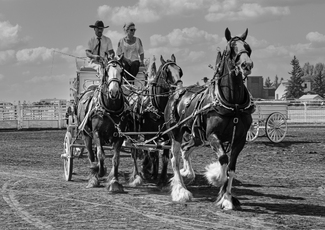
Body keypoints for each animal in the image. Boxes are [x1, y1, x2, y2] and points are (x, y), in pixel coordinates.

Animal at [77, 56, 130, 192]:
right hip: (86, 135)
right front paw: (99, 172)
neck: (110, 109)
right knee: (91, 155)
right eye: (106, 72)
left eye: (122, 72)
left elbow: (115, 159)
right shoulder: (96, 133)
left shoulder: (120, 135)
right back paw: (93, 176)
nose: (113, 92)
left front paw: (114, 181)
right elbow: (100, 155)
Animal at [126, 54, 182, 187]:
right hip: (134, 132)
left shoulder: (167, 134)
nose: (179, 89)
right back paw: (137, 174)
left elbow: (164, 156)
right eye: (167, 72)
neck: (157, 106)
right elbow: (150, 152)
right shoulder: (148, 133)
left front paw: (161, 177)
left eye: (180, 71)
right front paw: (148, 171)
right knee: (134, 150)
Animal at [165, 27, 253, 209]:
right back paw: (181, 191)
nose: (246, 65)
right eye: (230, 49)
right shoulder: (213, 135)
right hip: (176, 132)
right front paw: (215, 177)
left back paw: (187, 175)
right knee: (174, 158)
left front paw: (227, 198)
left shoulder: (239, 139)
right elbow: (223, 159)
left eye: (248, 48)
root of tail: (177, 91)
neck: (233, 104)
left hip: (197, 136)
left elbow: (231, 168)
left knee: (186, 148)